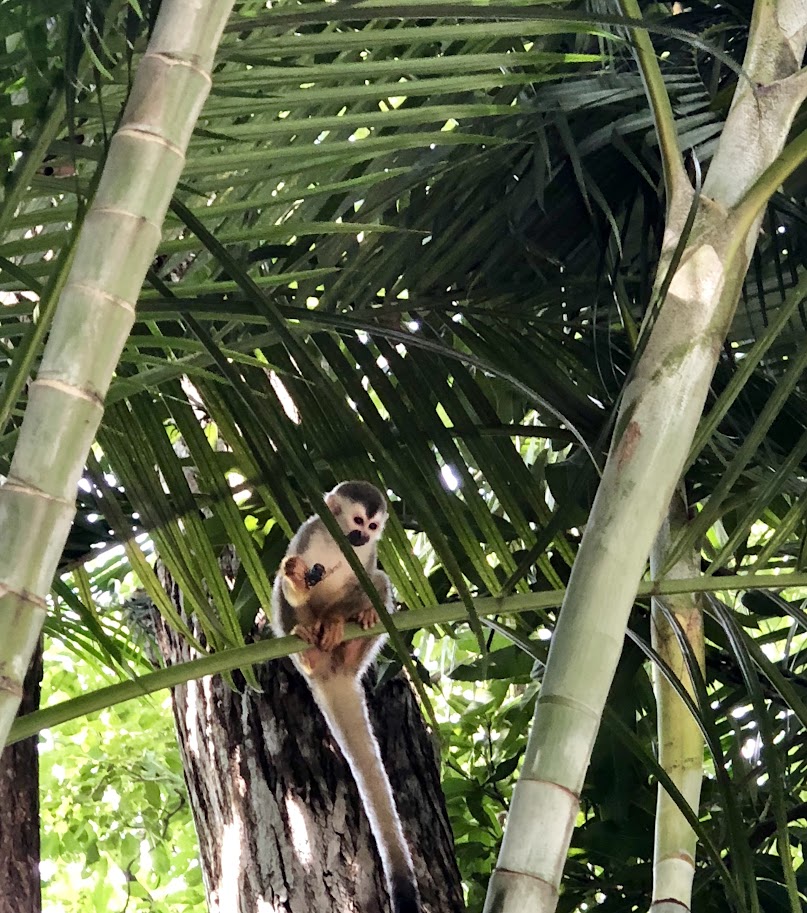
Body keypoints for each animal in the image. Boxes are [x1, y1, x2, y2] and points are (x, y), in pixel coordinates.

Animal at [274, 480, 420, 908]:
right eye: (356, 521)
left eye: (372, 527)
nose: (361, 536)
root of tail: (334, 673)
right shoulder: (309, 532)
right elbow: (289, 584)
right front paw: (297, 584)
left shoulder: (367, 555)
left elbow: (367, 579)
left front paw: (343, 619)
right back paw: (307, 648)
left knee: (380, 584)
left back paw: (352, 634)